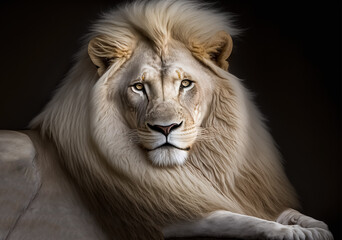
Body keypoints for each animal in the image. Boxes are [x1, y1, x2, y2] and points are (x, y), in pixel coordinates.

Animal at [0, 0, 332, 240]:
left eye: (185, 84)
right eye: (138, 87)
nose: (165, 128)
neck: (193, 171)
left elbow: (275, 210)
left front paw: (311, 223)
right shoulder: (164, 221)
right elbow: (233, 218)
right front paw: (294, 232)